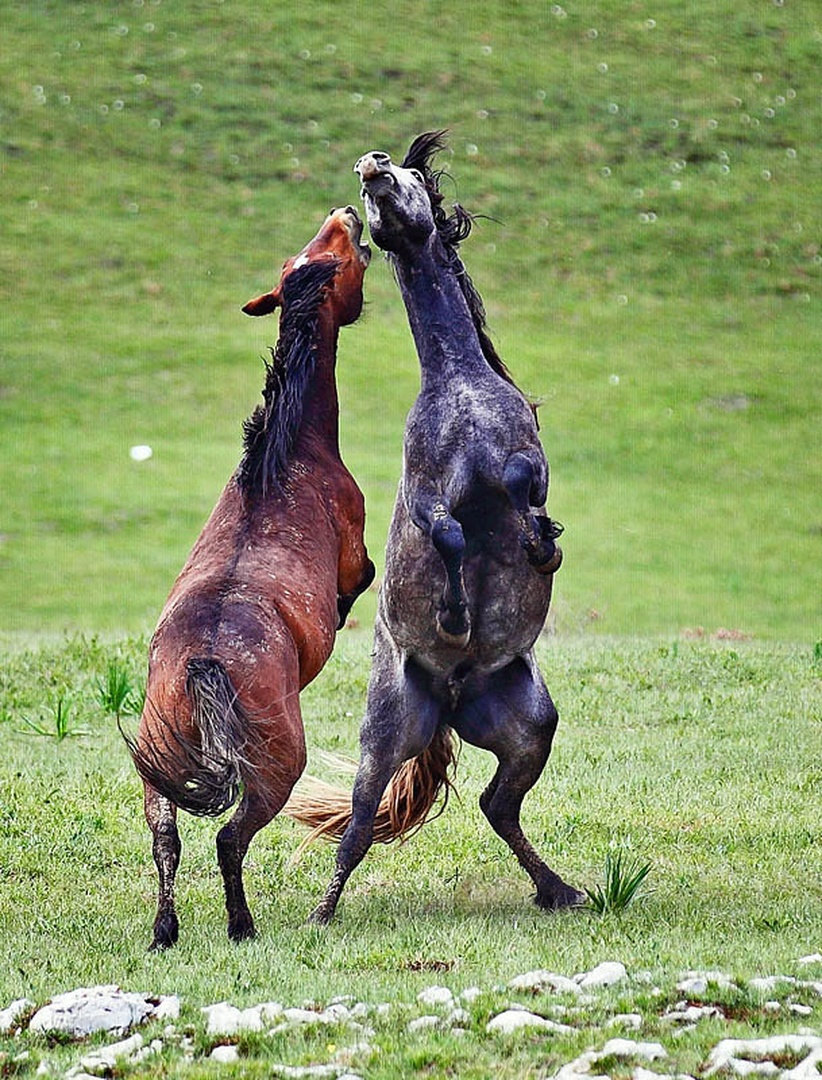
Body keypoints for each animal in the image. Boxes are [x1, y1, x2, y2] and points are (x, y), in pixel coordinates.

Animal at [123, 206, 375, 948]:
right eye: (340, 253)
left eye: (315, 247)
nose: (348, 212)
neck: (284, 455)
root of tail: (204, 661)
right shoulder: (355, 549)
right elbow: (359, 581)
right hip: (276, 768)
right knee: (230, 838)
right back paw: (242, 925)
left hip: (160, 764)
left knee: (167, 837)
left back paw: (165, 930)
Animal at [285, 132, 583, 923]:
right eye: (369, 196)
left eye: (415, 177)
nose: (375, 168)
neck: (460, 387)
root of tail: (449, 701)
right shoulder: (426, 493)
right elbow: (448, 535)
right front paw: (454, 612)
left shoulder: (526, 458)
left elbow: (528, 493)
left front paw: (540, 547)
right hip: (386, 734)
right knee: (360, 824)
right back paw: (322, 912)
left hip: (530, 727)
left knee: (496, 806)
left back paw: (562, 890)